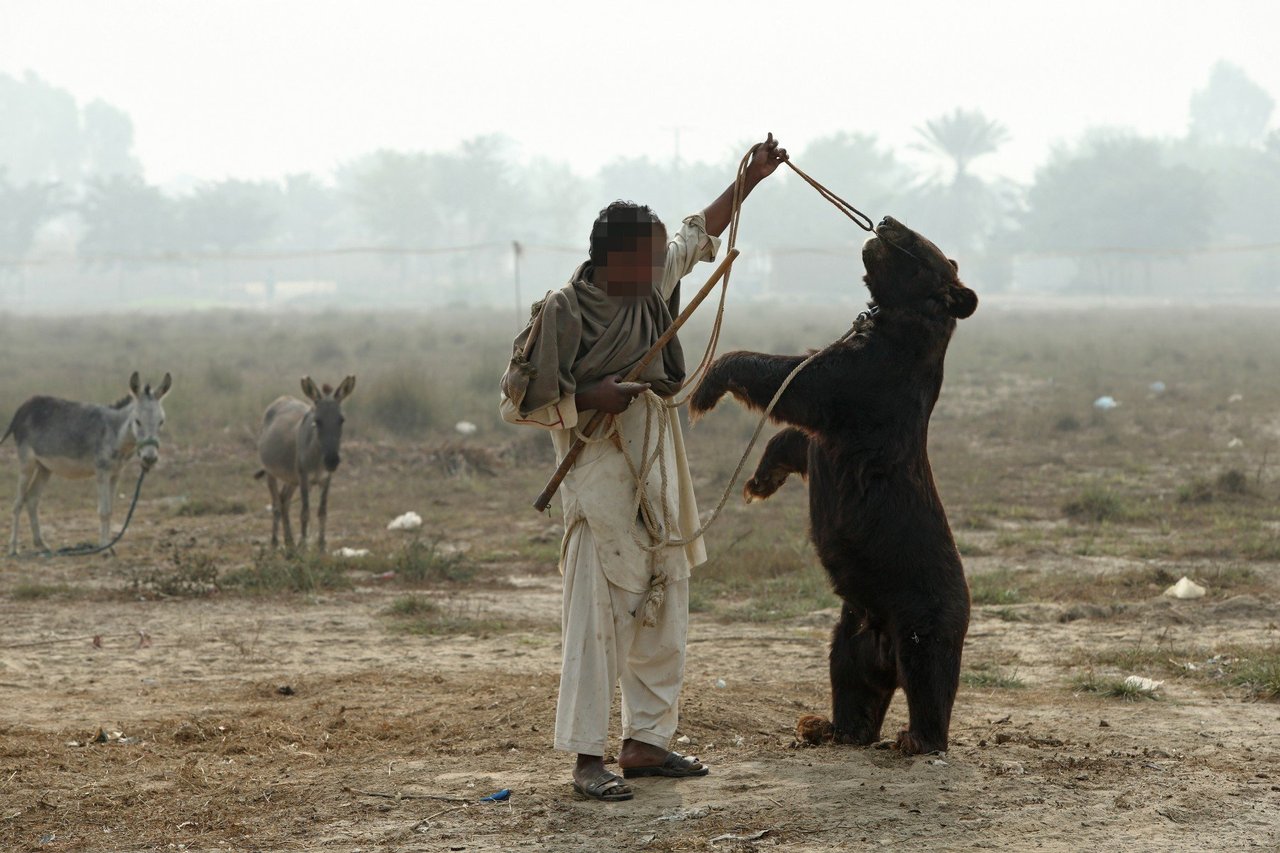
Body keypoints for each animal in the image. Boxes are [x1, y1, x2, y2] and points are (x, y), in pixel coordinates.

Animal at [691, 216, 977, 753]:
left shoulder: (864, 381)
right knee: (851, 681)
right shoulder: (843, 413)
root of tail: (884, 641)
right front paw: (759, 482)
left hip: (926, 613)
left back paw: (915, 738)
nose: (884, 221)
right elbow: (796, 439)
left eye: (912, 240)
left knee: (928, 677)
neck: (897, 325)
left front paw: (707, 384)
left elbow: (796, 382)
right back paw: (828, 726)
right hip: (851, 631)